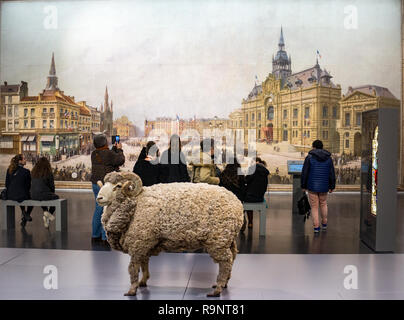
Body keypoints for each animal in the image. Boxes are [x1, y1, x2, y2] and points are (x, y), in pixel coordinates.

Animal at [97, 172, 243, 298]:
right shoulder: (145, 243)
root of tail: (237, 203)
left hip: (218, 240)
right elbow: (144, 264)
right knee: (232, 258)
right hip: (228, 239)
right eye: (105, 184)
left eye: (118, 186)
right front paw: (143, 282)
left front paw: (132, 289)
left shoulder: (138, 242)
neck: (136, 202)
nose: (99, 198)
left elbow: (133, 267)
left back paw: (217, 289)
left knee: (225, 262)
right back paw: (224, 283)